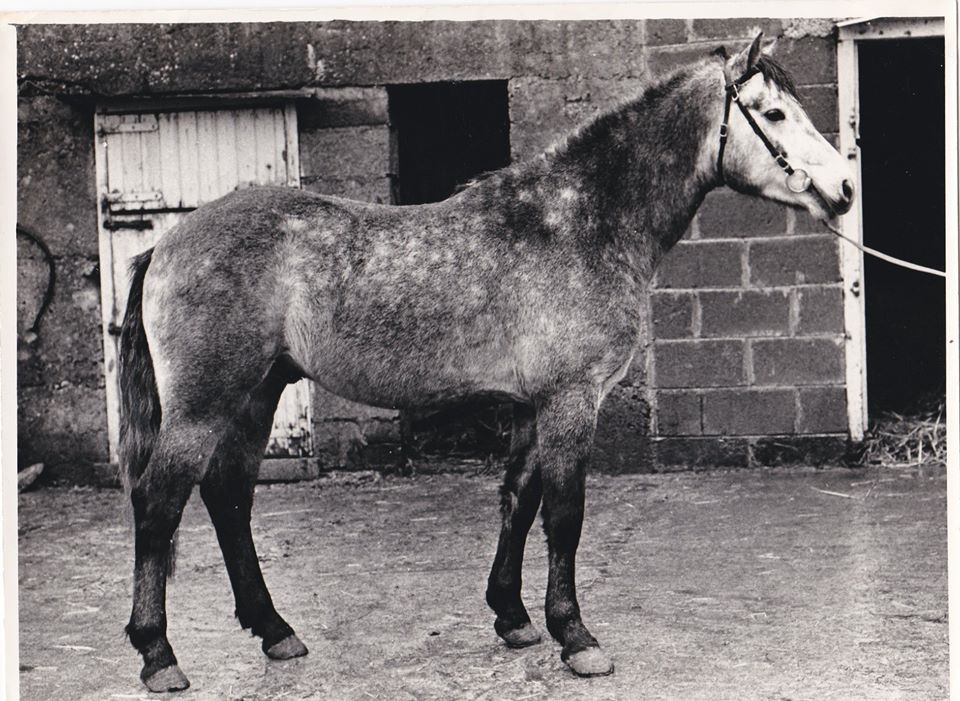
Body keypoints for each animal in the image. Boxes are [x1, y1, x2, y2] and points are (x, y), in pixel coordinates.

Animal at [118, 35, 856, 692]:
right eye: (775, 113)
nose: (844, 187)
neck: (581, 224)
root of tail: (166, 243)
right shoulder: (570, 400)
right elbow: (564, 514)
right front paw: (576, 637)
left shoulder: (532, 405)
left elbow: (519, 501)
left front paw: (514, 615)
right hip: (206, 403)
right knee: (159, 503)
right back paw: (159, 655)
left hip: (256, 394)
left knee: (228, 499)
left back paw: (275, 631)